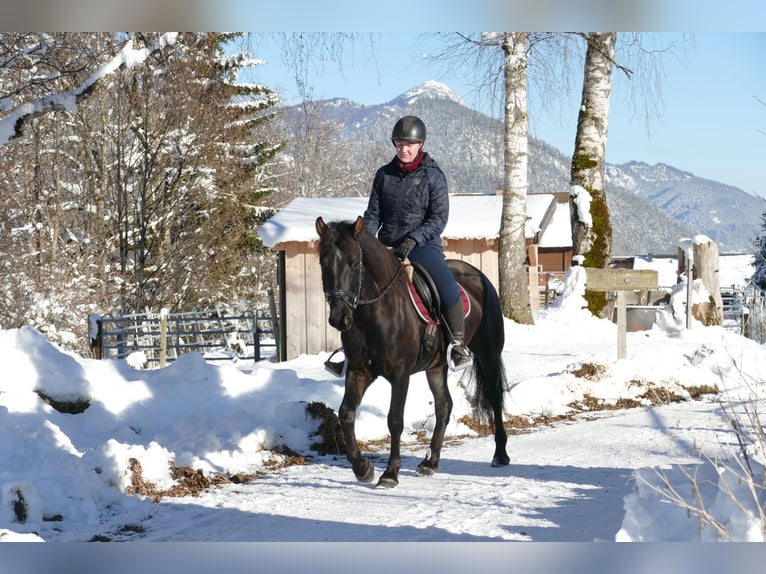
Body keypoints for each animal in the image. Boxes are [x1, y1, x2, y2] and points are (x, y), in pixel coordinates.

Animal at [316, 217, 508, 490]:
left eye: (354, 263)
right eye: (323, 263)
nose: (339, 318)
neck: (377, 311)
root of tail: (479, 276)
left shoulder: (400, 374)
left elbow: (395, 420)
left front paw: (390, 473)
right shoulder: (359, 371)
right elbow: (346, 414)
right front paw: (362, 468)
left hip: (488, 354)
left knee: (494, 398)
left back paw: (500, 454)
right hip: (437, 367)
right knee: (444, 406)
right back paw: (430, 463)